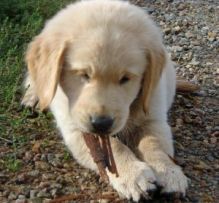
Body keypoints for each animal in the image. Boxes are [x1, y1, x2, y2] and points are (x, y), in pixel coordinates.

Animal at [21, 0, 187, 201]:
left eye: (125, 79)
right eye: (84, 75)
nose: (101, 123)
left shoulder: (153, 114)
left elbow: (154, 143)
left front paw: (169, 171)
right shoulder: (75, 128)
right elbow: (115, 147)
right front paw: (134, 176)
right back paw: (34, 96)